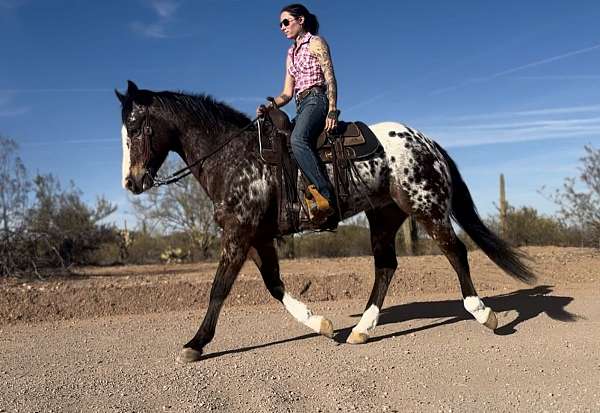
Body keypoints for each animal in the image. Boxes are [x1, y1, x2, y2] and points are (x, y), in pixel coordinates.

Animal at [116, 79, 536, 360]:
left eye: (135, 128)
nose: (131, 182)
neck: (234, 155)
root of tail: (427, 142)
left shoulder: (238, 233)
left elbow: (219, 288)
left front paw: (195, 343)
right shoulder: (257, 237)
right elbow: (274, 285)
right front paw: (320, 323)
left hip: (426, 206)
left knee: (455, 251)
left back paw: (483, 313)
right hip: (384, 217)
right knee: (386, 266)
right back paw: (362, 330)